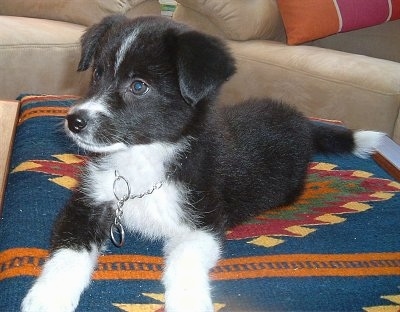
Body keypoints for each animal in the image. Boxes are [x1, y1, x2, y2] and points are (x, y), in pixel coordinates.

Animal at [21, 15, 384, 312]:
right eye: (97, 73)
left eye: (139, 86)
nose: (75, 121)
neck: (144, 160)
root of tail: (304, 123)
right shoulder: (89, 203)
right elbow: (68, 254)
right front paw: (47, 298)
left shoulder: (203, 221)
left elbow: (184, 262)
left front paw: (188, 302)